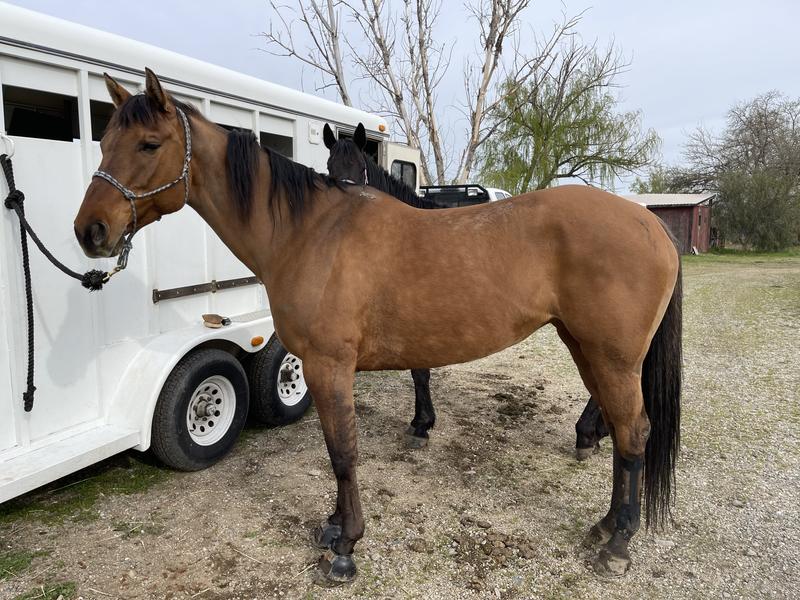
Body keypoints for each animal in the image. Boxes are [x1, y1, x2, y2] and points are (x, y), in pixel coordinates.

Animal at [324, 122, 612, 459]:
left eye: (361, 170)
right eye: (329, 169)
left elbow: (420, 371)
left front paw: (421, 425)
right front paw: (420, 423)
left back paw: (587, 434)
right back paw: (597, 432)